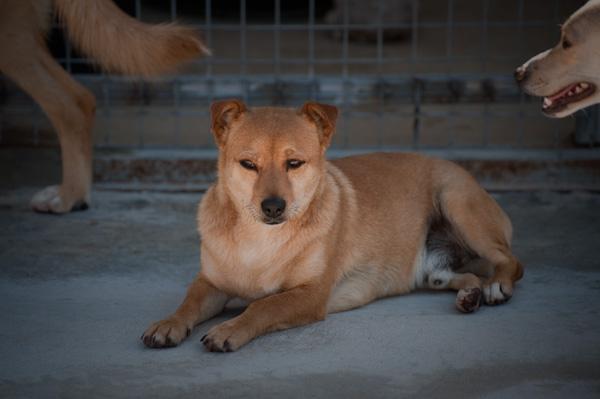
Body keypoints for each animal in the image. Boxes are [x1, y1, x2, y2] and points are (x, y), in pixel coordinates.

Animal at [142, 101, 524, 354]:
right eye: (248, 164)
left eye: (294, 163)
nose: (273, 206)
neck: (261, 237)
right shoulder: (210, 283)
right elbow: (188, 302)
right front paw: (168, 323)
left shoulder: (310, 294)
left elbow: (263, 306)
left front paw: (229, 329)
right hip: (436, 269)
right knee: (462, 276)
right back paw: (470, 295)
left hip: (456, 201)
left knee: (511, 262)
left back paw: (495, 287)